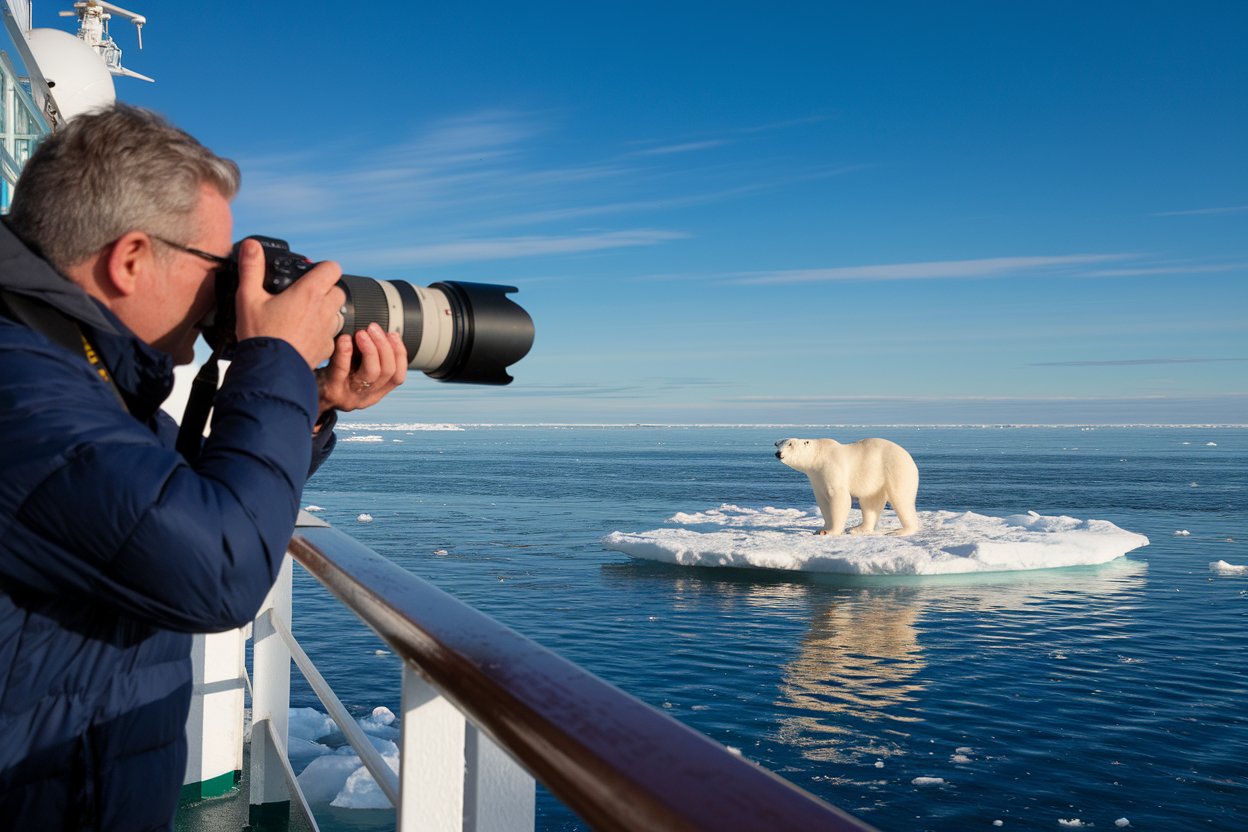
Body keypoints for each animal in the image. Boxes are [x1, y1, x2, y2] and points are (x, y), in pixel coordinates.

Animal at [773, 439, 923, 536]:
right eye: (777, 444)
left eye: (790, 444)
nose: (778, 454)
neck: (819, 457)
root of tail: (909, 457)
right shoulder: (816, 477)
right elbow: (823, 501)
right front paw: (821, 529)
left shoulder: (832, 467)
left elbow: (840, 498)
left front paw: (830, 531)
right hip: (875, 478)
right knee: (870, 502)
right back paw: (857, 528)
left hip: (895, 469)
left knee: (901, 499)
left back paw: (901, 531)